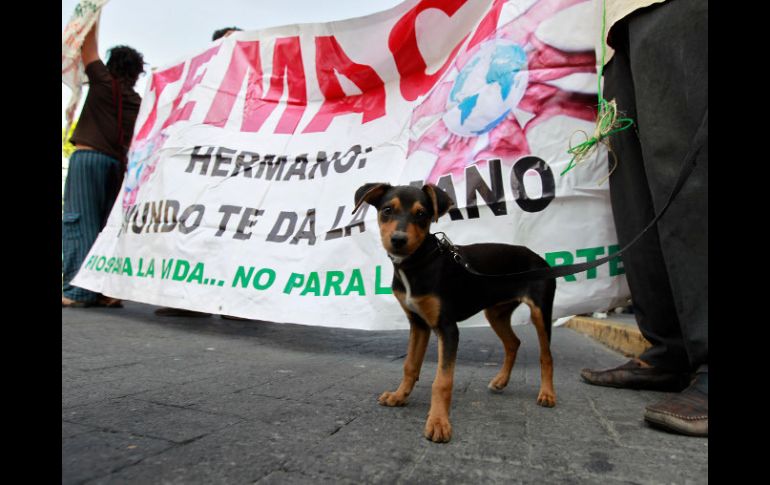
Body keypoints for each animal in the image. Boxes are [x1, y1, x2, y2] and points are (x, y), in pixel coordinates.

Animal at [352, 182, 556, 442]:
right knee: (513, 343)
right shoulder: (418, 323)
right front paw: (399, 397)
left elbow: (442, 381)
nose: (398, 239)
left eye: (421, 214)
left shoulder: (447, 328)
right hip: (496, 313)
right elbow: (410, 366)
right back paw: (501, 381)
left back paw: (547, 394)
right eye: (387, 210)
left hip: (540, 311)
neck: (418, 263)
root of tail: (540, 259)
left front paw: (438, 422)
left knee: (546, 355)